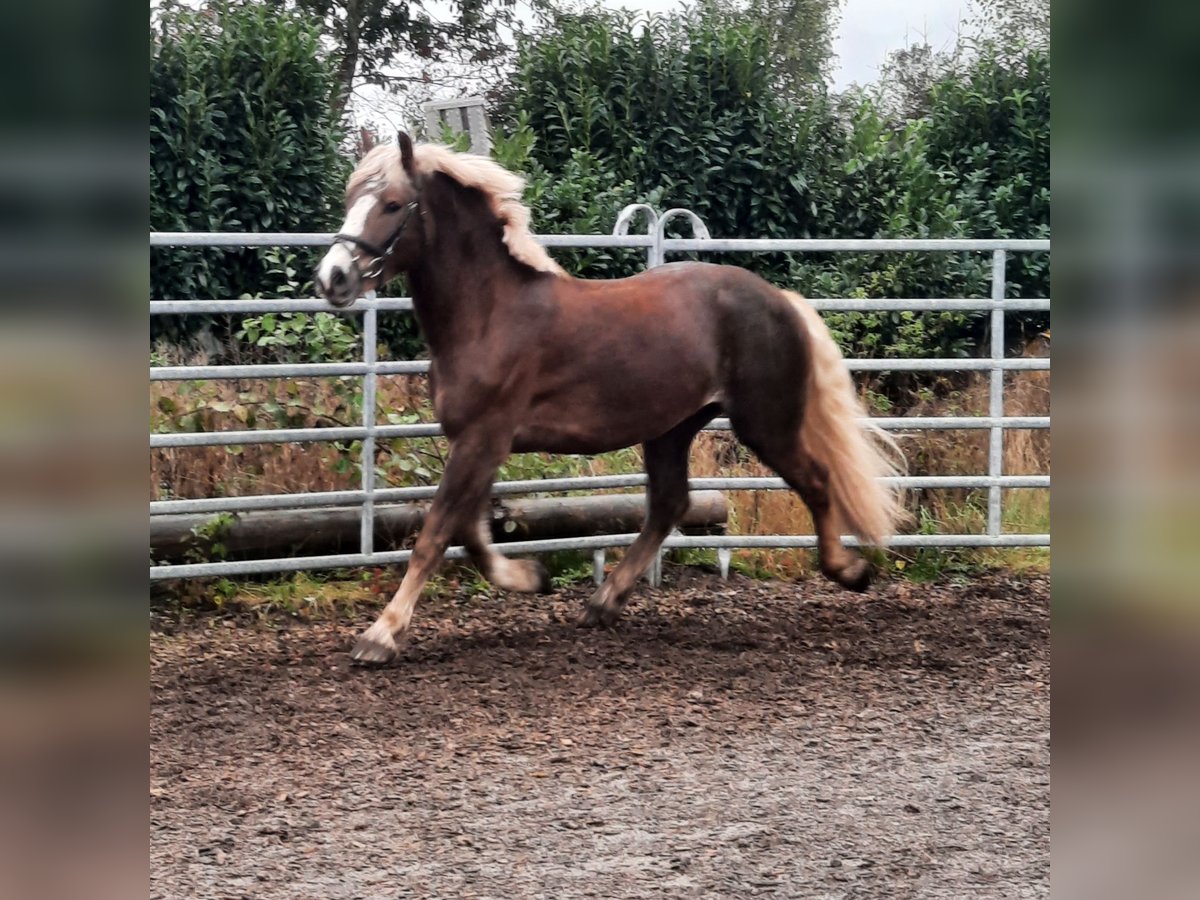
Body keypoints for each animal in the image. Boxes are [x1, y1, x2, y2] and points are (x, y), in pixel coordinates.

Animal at [314, 135, 902, 672]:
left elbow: (436, 533)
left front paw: (380, 636)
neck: (489, 316)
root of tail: (781, 301)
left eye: (393, 203)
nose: (332, 277)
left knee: (816, 481)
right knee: (669, 504)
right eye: (351, 197)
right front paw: (531, 578)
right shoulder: (477, 442)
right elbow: (471, 532)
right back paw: (603, 601)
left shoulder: (484, 438)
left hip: (765, 422)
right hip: (672, 428)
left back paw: (850, 571)